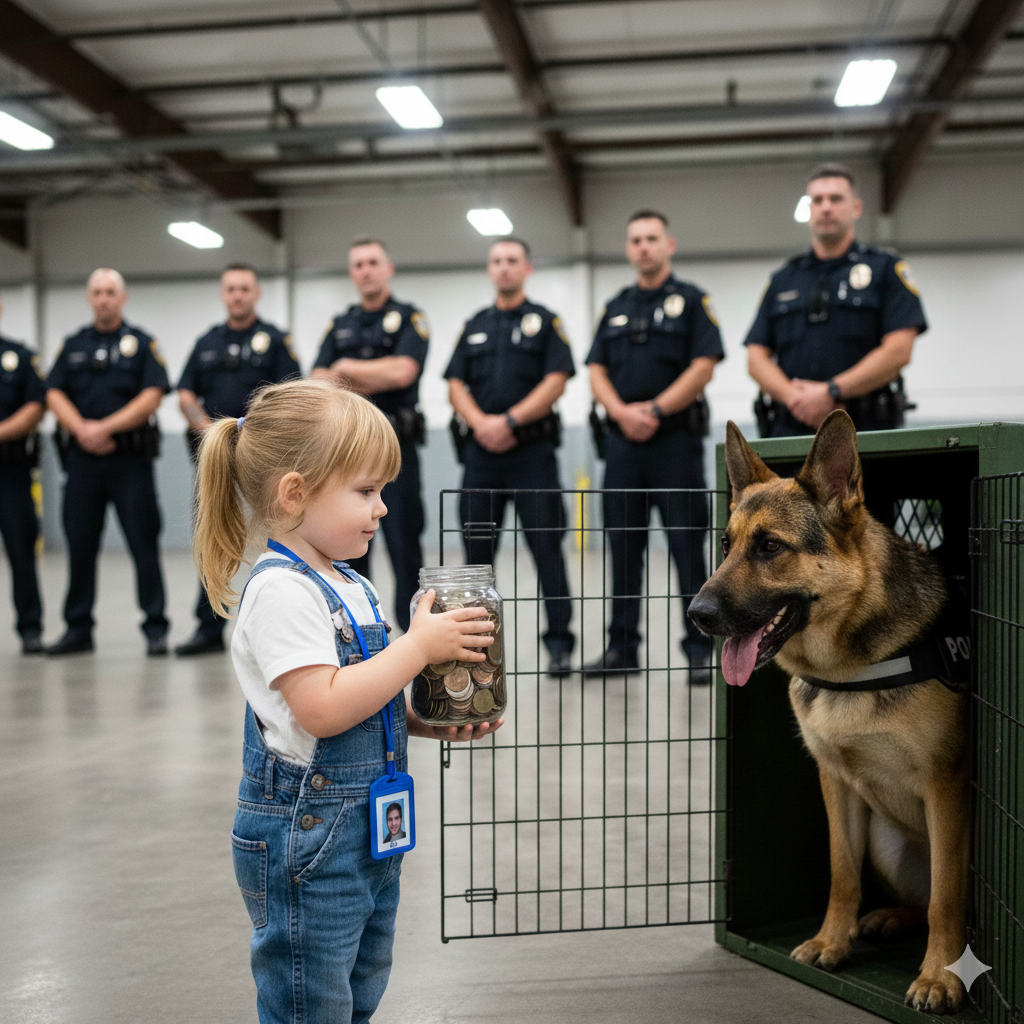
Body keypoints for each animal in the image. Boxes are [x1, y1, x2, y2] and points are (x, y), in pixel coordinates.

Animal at [688, 411, 970, 1015]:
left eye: (770, 546)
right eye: (725, 544)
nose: (696, 614)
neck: (849, 664)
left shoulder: (947, 787)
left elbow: (947, 895)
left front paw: (940, 977)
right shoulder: (836, 782)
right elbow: (843, 874)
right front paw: (831, 943)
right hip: (887, 841)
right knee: (912, 896)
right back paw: (888, 918)